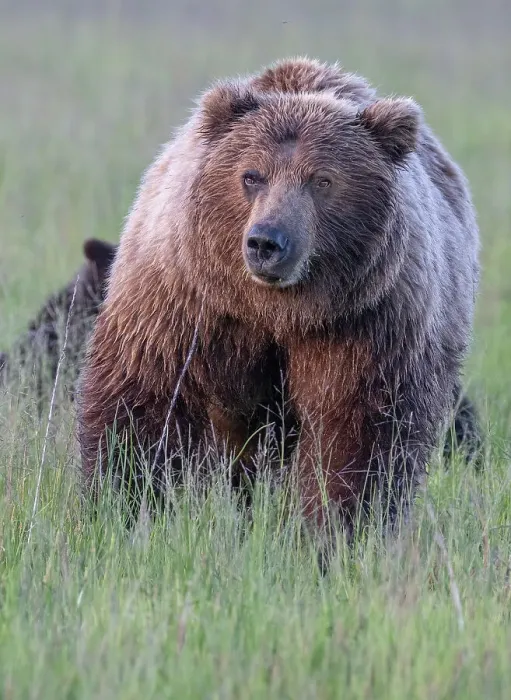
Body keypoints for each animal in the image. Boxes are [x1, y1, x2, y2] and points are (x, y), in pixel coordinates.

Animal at [77, 57, 480, 533]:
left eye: (322, 180)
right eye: (251, 176)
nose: (267, 241)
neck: (276, 310)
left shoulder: (367, 320)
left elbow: (359, 428)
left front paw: (339, 526)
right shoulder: (182, 300)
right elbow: (143, 404)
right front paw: (120, 505)